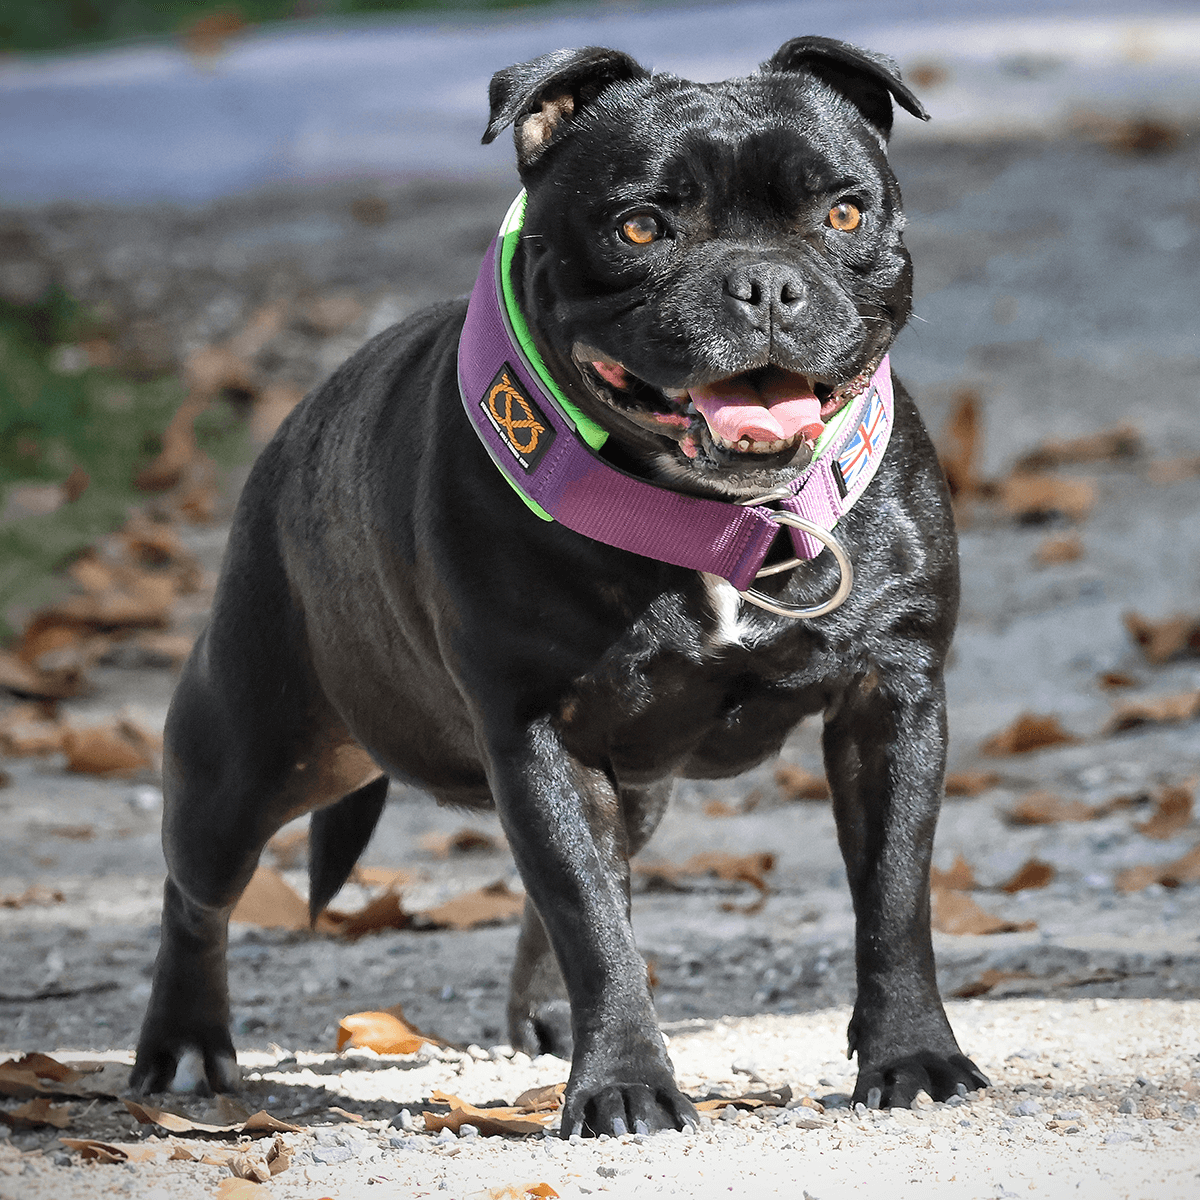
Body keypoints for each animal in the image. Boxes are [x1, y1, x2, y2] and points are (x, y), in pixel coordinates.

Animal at [136, 37, 988, 1137]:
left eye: (842, 213)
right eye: (640, 226)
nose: (762, 284)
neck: (713, 516)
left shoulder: (892, 703)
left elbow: (891, 899)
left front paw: (914, 1056)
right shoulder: (536, 729)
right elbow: (591, 917)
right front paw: (625, 1080)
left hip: (625, 782)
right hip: (259, 754)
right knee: (195, 889)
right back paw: (183, 1045)